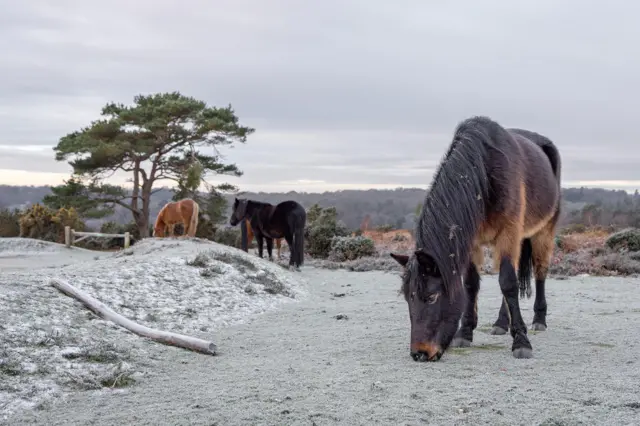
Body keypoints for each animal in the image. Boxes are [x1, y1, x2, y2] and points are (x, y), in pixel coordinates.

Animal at [390, 115, 561, 362]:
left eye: (431, 296)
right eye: (407, 297)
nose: (419, 354)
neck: (484, 173)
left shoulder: (508, 233)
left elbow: (508, 283)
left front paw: (521, 341)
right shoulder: (472, 241)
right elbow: (472, 284)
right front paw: (465, 333)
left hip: (543, 232)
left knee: (539, 272)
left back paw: (539, 320)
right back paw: (501, 323)